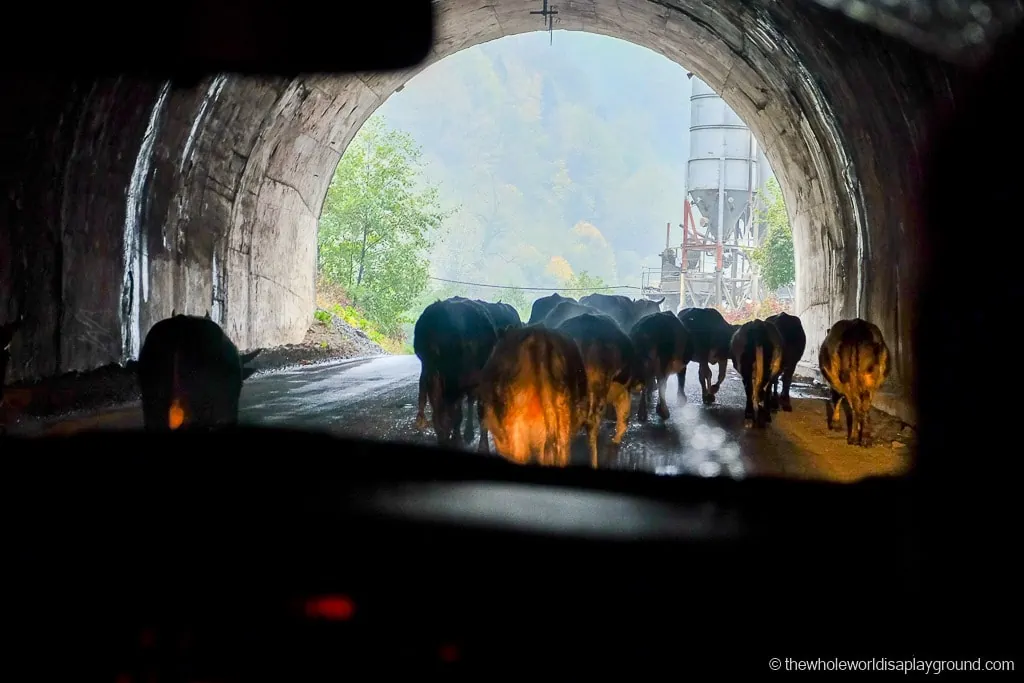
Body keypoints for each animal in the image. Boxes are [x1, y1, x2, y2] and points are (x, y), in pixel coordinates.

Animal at [819, 317, 892, 446]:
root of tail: (857, 327)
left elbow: (837, 398)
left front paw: (835, 424)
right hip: (870, 379)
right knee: (865, 405)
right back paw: (865, 438)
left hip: (848, 379)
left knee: (854, 405)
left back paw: (853, 437)